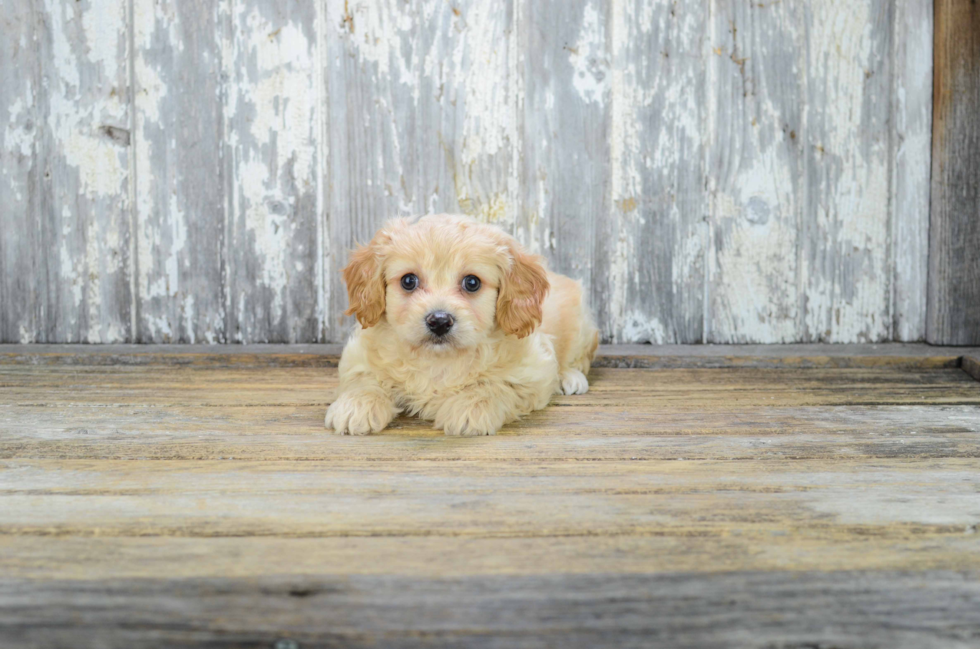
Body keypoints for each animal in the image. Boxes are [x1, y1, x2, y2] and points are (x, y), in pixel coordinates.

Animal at [326, 216, 596, 436]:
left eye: (472, 283)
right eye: (408, 281)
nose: (439, 321)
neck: (439, 360)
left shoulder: (532, 371)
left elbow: (497, 385)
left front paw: (469, 408)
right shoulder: (358, 358)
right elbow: (364, 380)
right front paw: (355, 406)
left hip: (582, 328)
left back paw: (570, 377)